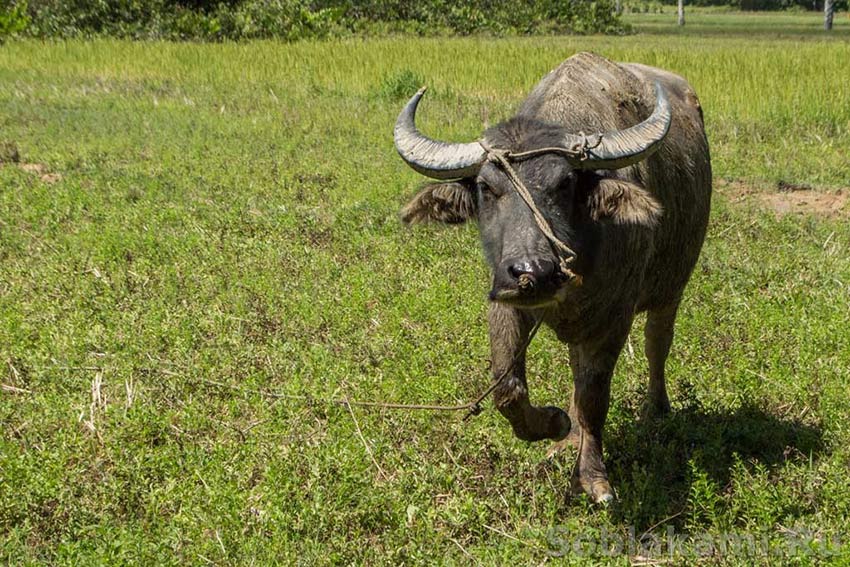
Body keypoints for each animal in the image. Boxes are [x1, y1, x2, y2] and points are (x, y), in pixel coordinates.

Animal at [390, 51, 708, 504]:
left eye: (564, 183)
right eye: (487, 187)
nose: (533, 273)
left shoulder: (614, 317)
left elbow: (594, 397)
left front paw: (592, 476)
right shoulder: (505, 301)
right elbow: (507, 388)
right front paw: (557, 424)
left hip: (672, 287)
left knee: (656, 345)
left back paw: (656, 410)